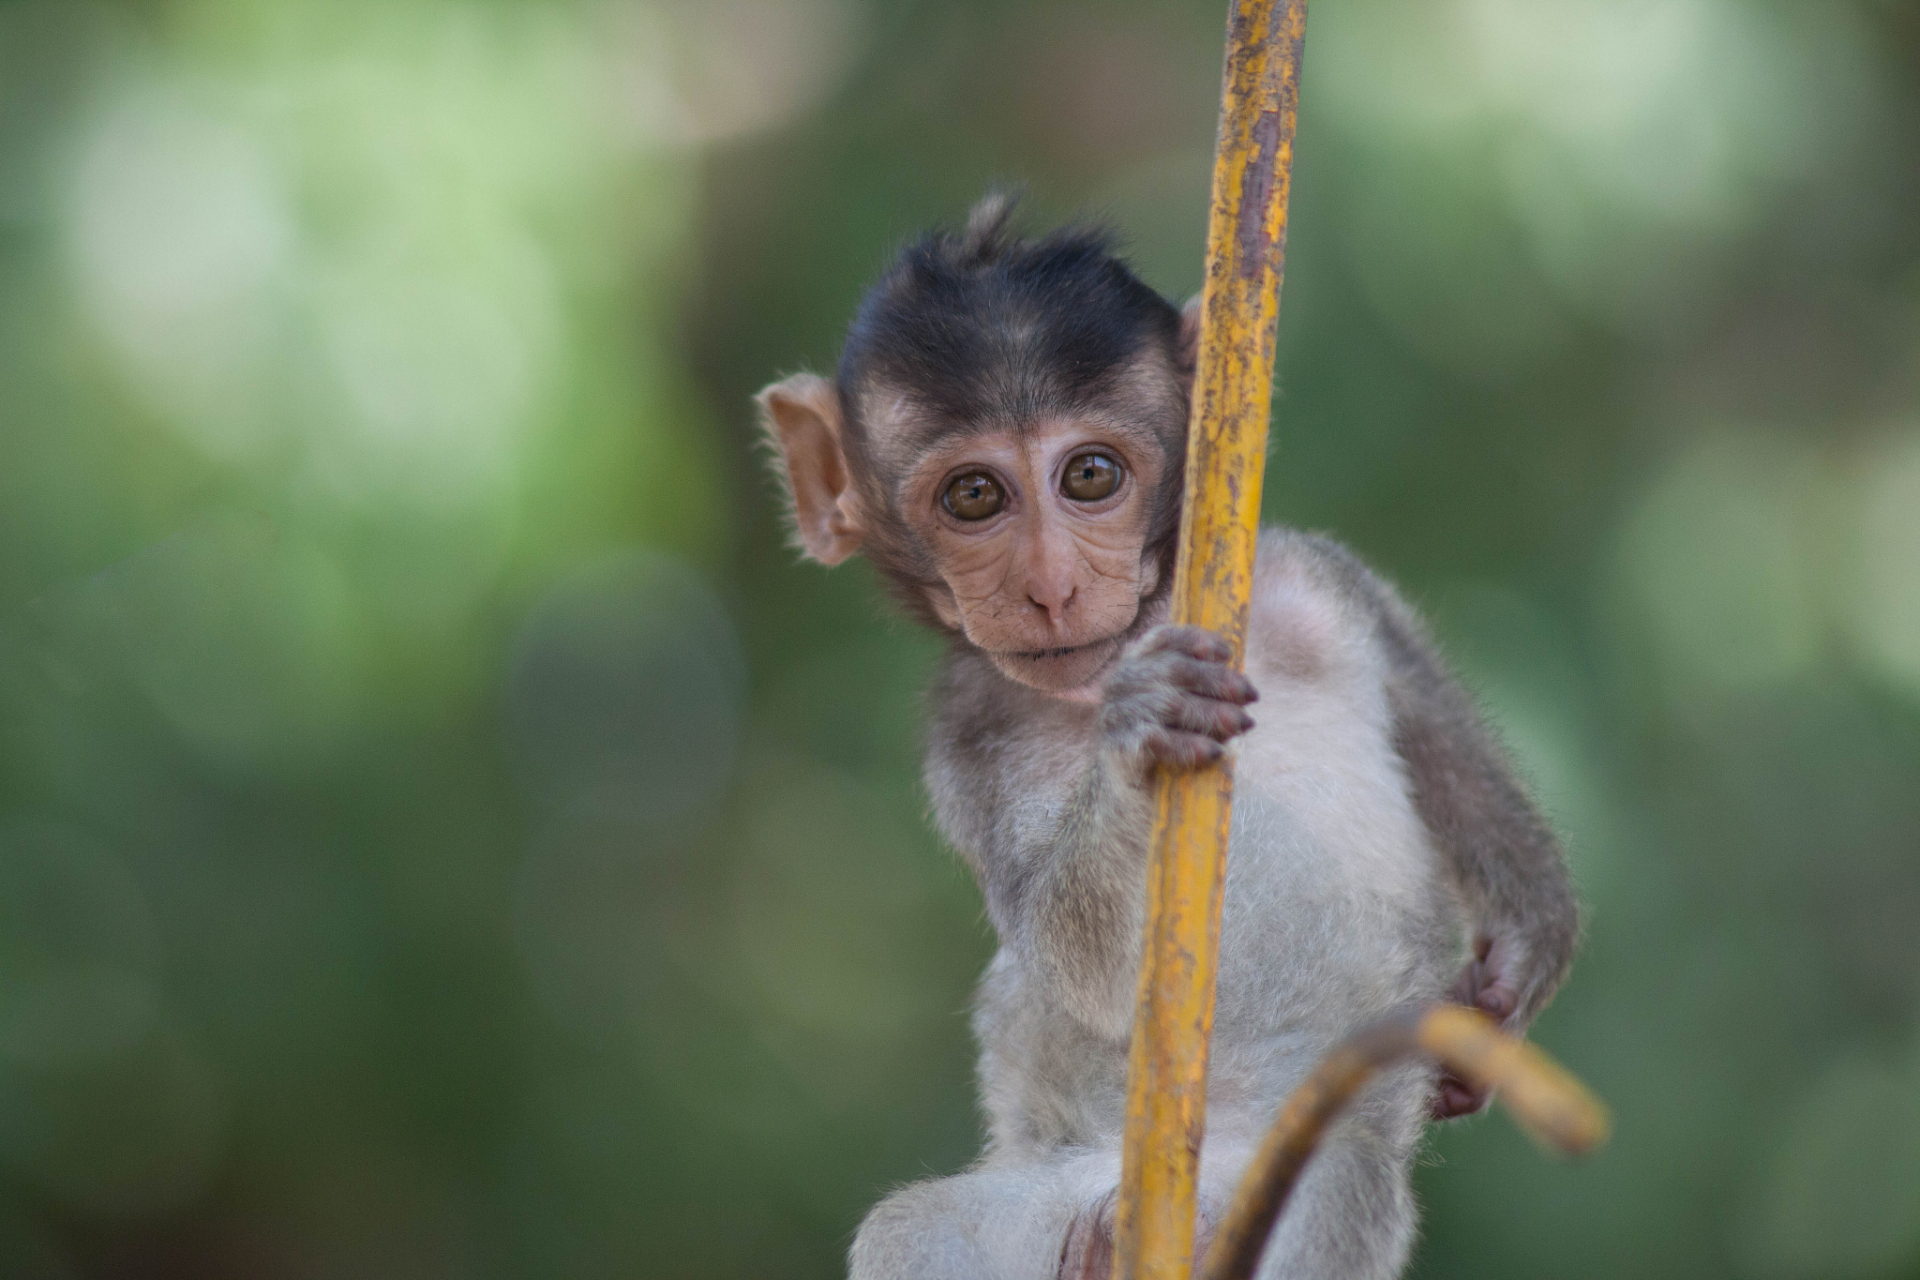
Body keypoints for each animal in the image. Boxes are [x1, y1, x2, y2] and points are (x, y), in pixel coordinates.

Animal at [752, 197, 1574, 1280]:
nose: (1050, 587)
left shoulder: (1313, 576)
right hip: (1062, 1191)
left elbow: (1438, 734)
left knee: (1337, 1186)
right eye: (974, 496)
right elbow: (1080, 960)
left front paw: (1521, 960)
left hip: (1303, 1171)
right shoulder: (967, 735)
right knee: (915, 1231)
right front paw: (1140, 732)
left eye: (1090, 476)